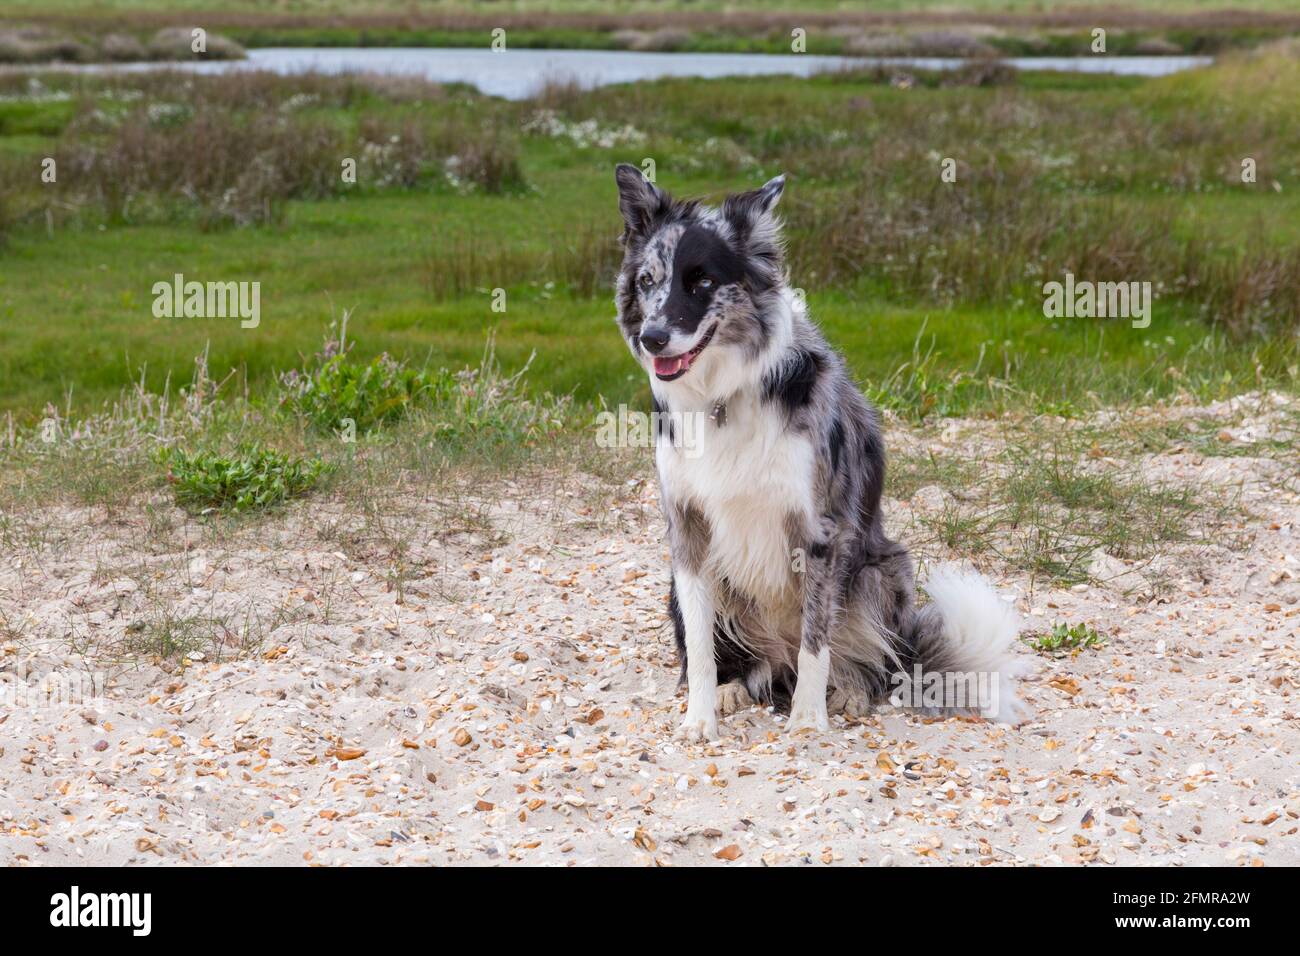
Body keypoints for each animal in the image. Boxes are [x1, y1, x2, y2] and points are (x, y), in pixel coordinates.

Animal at [608, 164, 1024, 738]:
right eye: (648, 281)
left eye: (703, 282)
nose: (652, 338)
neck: (722, 396)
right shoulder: (686, 527)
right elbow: (698, 643)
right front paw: (700, 716)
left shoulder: (819, 531)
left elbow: (815, 638)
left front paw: (808, 719)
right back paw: (735, 688)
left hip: (882, 570)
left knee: (872, 660)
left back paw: (849, 691)